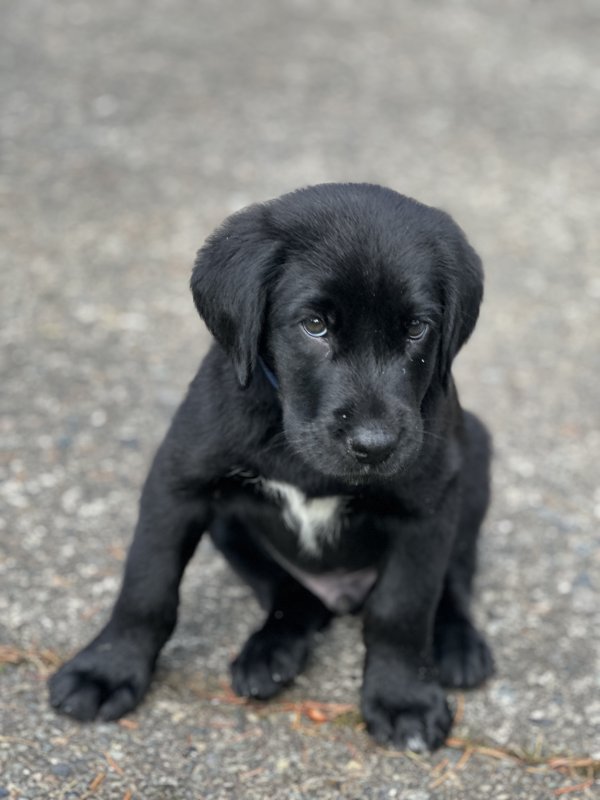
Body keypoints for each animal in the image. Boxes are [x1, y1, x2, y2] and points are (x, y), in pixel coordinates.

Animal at [50, 181, 492, 752]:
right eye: (314, 325)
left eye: (417, 329)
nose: (375, 445)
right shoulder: (178, 482)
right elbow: (146, 585)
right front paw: (107, 668)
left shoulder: (428, 507)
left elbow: (402, 609)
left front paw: (403, 699)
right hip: (230, 528)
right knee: (293, 596)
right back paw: (271, 652)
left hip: (473, 461)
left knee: (454, 577)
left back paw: (457, 644)